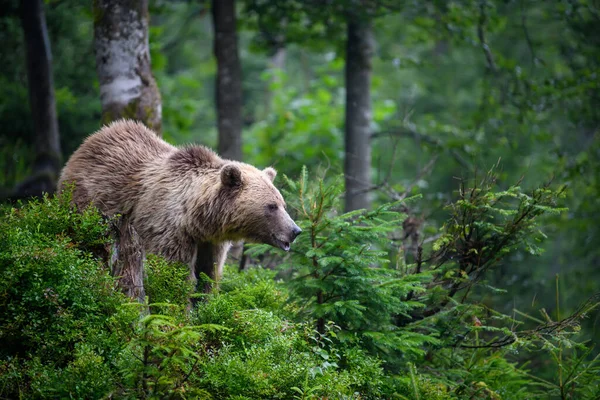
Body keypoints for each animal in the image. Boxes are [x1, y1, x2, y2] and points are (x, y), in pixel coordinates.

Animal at [58, 119, 302, 294]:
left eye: (283, 203)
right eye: (271, 206)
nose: (295, 230)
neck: (198, 219)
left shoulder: (210, 243)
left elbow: (208, 276)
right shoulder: (167, 230)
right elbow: (174, 274)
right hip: (86, 204)